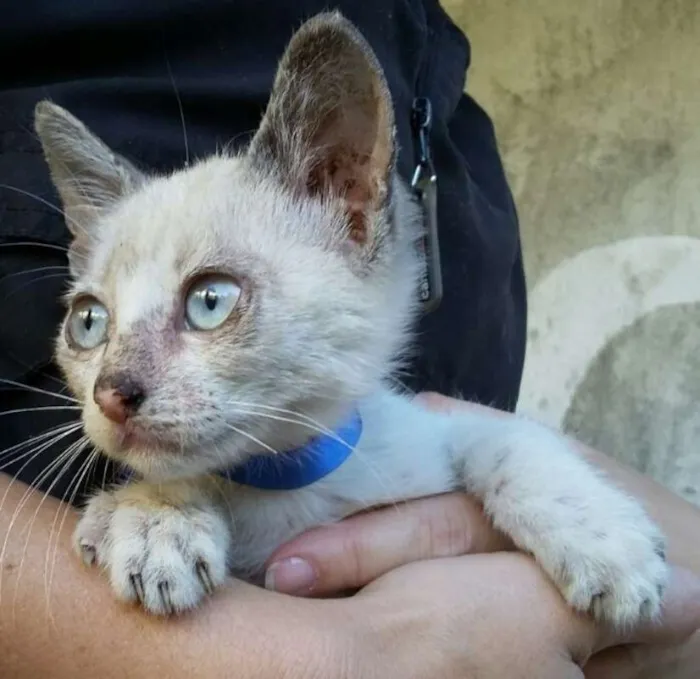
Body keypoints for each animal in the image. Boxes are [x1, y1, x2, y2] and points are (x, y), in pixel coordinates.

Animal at [34, 10, 668, 628]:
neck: (287, 484)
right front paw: (154, 519)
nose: (111, 393)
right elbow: (171, 475)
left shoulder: (427, 432)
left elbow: (502, 437)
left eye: (210, 300)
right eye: (88, 323)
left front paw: (609, 545)